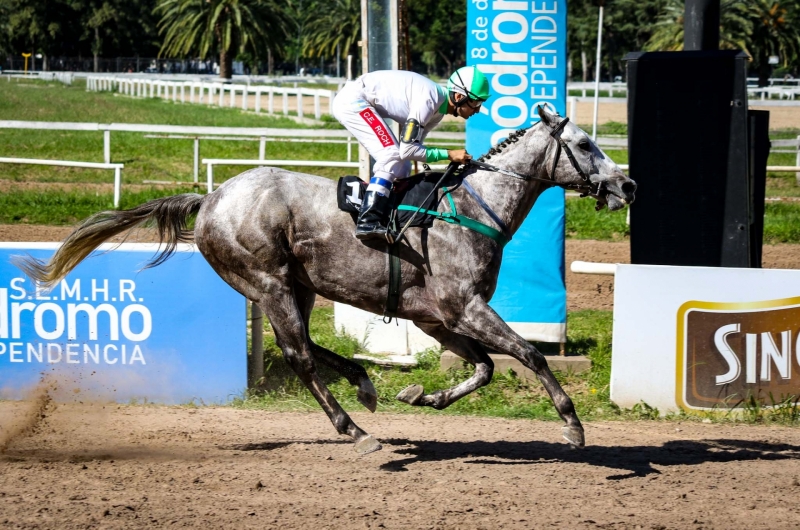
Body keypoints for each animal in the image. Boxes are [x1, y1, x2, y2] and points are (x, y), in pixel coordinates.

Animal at [17, 107, 636, 454]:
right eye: (585, 146)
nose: (627, 185)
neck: (471, 209)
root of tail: (210, 198)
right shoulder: (463, 308)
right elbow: (528, 355)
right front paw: (573, 427)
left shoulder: (437, 317)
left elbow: (484, 368)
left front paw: (424, 394)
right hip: (266, 281)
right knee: (298, 354)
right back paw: (354, 429)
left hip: (299, 285)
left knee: (305, 343)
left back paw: (364, 384)